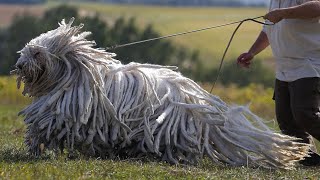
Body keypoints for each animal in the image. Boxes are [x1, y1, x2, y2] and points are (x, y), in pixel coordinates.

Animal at [11, 17, 310, 169]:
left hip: (165, 126)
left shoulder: (61, 112)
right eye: (26, 50)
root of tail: (199, 101)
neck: (75, 74)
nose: (20, 65)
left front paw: (34, 148)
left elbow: (42, 126)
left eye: (37, 53)